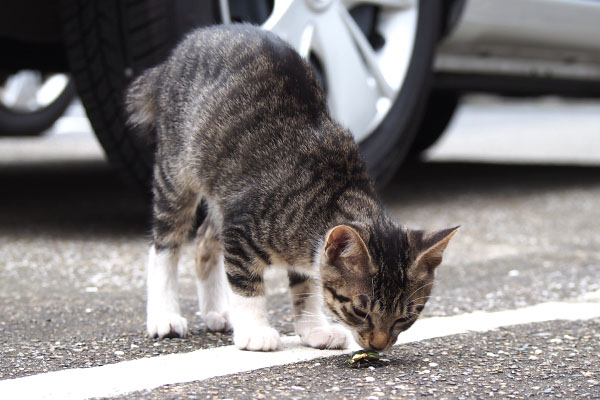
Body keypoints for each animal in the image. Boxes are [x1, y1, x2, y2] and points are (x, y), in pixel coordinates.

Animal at [125, 23, 454, 352]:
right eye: (360, 310)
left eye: (405, 317)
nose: (378, 346)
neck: (335, 192)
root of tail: (181, 49)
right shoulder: (241, 228)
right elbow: (246, 284)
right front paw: (255, 331)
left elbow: (306, 287)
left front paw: (313, 329)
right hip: (176, 171)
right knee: (165, 244)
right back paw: (165, 316)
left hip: (222, 190)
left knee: (205, 241)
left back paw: (216, 312)